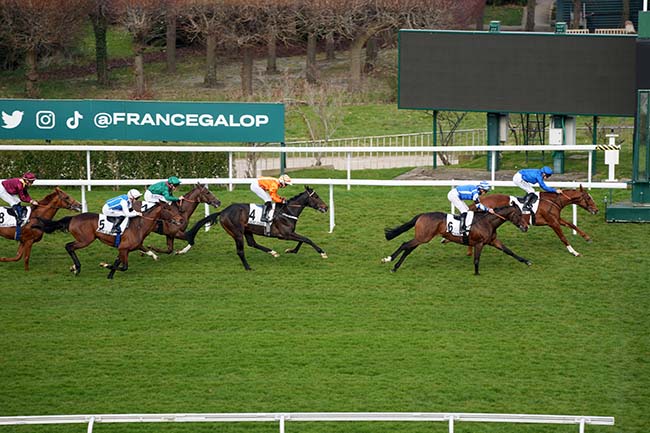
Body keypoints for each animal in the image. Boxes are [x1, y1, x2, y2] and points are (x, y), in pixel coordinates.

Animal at [37, 202, 180, 278]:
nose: (179, 219)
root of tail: (73, 218)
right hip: (85, 240)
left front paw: (110, 276)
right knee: (69, 246)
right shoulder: (123, 248)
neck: (139, 226)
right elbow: (124, 267)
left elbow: (120, 261)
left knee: (69, 247)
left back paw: (74, 267)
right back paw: (76, 268)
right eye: (168, 209)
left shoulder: (127, 248)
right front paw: (104, 265)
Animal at [184, 186, 330, 270]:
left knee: (252, 243)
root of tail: (223, 212)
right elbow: (307, 239)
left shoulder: (290, 233)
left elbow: (302, 240)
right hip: (237, 233)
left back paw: (272, 252)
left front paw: (291, 250)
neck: (287, 211)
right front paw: (322, 252)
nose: (326, 207)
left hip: (247, 230)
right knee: (240, 251)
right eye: (316, 196)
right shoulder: (285, 234)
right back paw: (248, 267)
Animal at [380, 205, 528, 274]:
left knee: (408, 249)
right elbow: (476, 259)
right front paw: (476, 272)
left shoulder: (493, 241)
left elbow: (509, 251)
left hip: (421, 238)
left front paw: (526, 261)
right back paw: (388, 259)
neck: (488, 222)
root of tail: (422, 215)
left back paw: (395, 267)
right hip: (423, 237)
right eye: (519, 215)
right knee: (404, 244)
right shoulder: (479, 243)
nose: (526, 227)